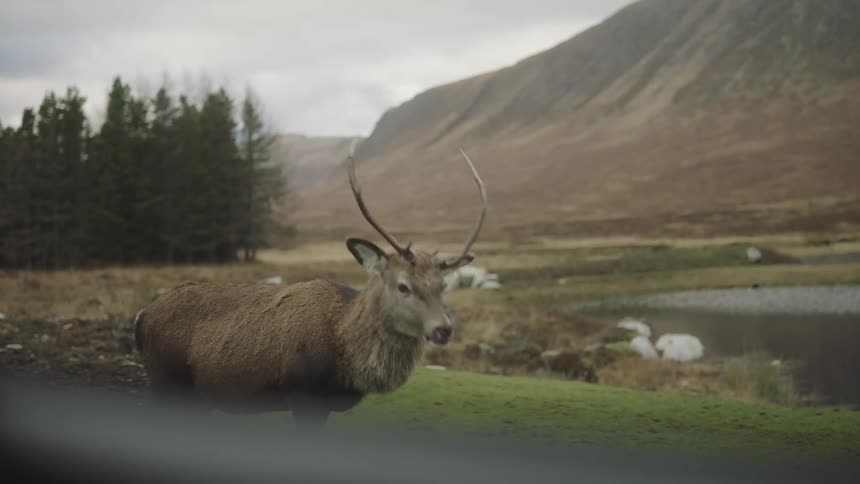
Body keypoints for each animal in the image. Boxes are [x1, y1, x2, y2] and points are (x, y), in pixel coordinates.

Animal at [134, 147, 487, 428]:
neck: (344, 362)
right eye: (403, 286)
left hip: (194, 393)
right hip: (165, 379)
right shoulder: (302, 394)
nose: (443, 329)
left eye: (443, 284)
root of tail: (141, 316)